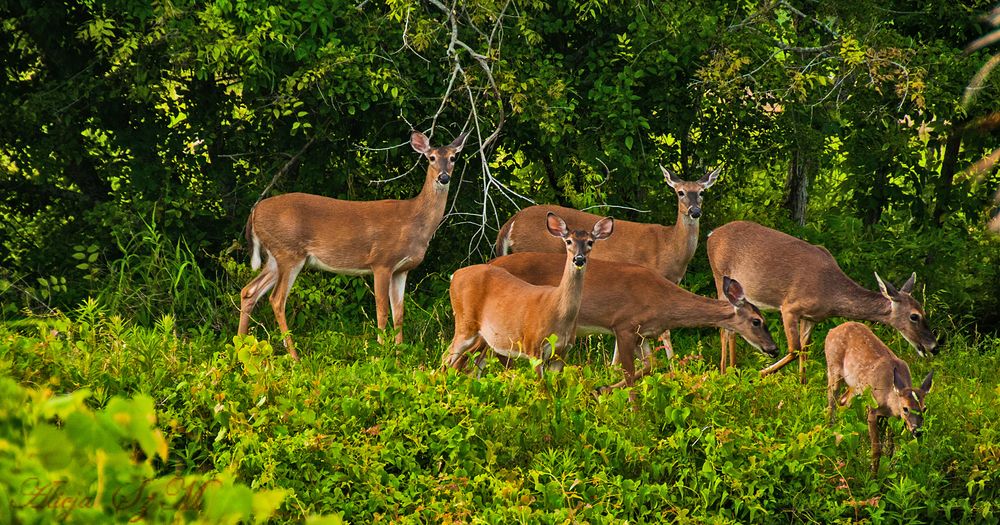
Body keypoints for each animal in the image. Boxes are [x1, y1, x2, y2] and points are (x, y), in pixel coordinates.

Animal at [238, 130, 468, 360]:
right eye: (431, 158)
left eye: (453, 158)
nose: (444, 177)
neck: (414, 221)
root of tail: (254, 212)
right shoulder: (381, 262)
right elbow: (382, 311)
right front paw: (379, 354)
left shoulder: (401, 270)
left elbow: (399, 313)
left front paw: (398, 354)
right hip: (289, 252)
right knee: (277, 299)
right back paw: (294, 357)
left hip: (275, 256)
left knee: (249, 291)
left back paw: (240, 348)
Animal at [444, 211, 612, 374]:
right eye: (569, 241)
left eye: (590, 242)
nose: (579, 259)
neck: (559, 311)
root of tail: (456, 274)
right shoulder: (534, 346)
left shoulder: (562, 352)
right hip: (465, 324)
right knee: (448, 358)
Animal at [484, 252, 780, 390]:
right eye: (757, 321)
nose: (774, 348)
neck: (663, 301)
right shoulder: (624, 325)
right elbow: (627, 372)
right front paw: (603, 390)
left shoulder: (643, 332)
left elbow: (649, 366)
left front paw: (602, 387)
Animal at [708, 220, 932, 380]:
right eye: (914, 316)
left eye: (924, 311)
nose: (933, 346)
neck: (830, 293)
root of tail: (711, 235)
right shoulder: (789, 307)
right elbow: (794, 349)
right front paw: (760, 373)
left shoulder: (812, 318)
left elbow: (805, 351)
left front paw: (802, 388)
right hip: (720, 277)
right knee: (725, 328)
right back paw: (726, 371)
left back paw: (730, 369)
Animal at [824, 322, 932, 472]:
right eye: (905, 408)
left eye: (924, 408)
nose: (917, 431)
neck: (888, 399)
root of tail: (831, 331)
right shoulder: (873, 410)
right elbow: (876, 450)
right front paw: (873, 474)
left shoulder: (892, 417)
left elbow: (890, 448)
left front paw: (887, 470)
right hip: (833, 369)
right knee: (831, 405)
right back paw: (830, 437)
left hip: (856, 387)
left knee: (843, 401)